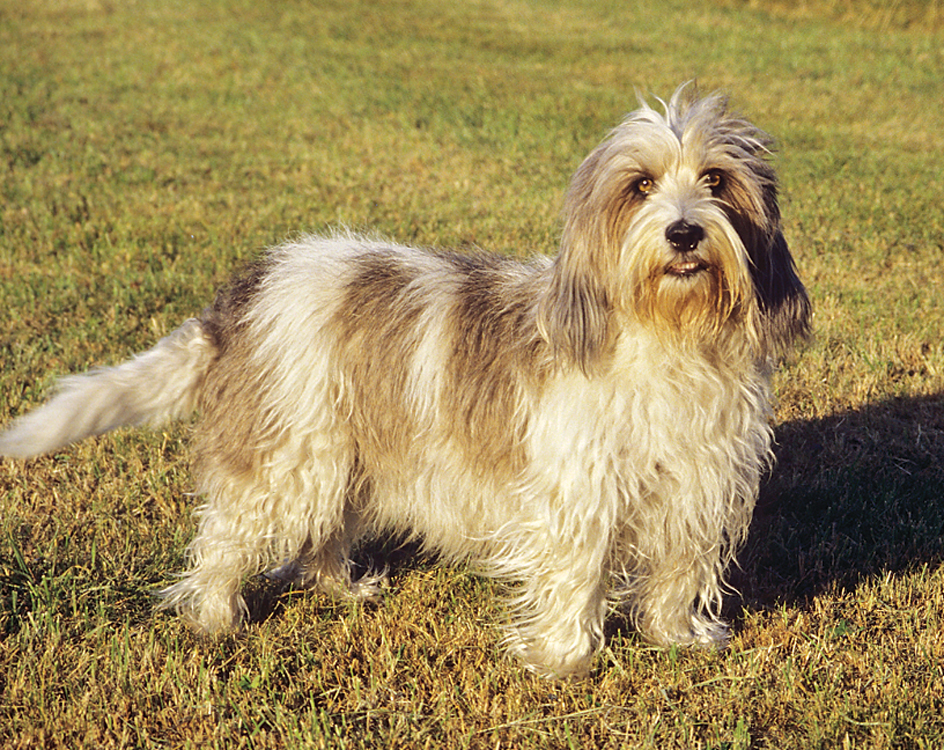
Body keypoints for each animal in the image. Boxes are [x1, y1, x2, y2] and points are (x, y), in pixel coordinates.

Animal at [0, 88, 812, 680]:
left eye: (716, 181)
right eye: (640, 186)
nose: (684, 232)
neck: (667, 335)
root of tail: (241, 296)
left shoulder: (700, 483)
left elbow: (679, 569)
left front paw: (677, 637)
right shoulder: (579, 495)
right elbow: (575, 575)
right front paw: (563, 661)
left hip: (343, 457)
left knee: (322, 536)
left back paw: (341, 587)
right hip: (286, 459)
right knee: (225, 541)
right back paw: (214, 616)